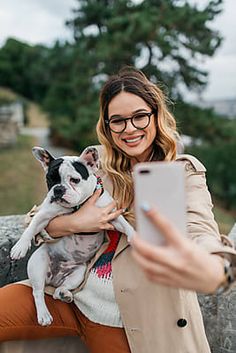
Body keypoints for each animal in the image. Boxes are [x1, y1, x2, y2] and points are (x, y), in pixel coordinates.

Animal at [10, 146, 135, 324]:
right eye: (50, 179)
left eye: (75, 180)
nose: (58, 189)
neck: (78, 206)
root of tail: (53, 280)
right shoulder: (44, 215)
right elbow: (32, 227)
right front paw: (19, 247)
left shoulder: (111, 215)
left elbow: (125, 225)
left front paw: (134, 237)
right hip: (38, 264)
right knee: (38, 292)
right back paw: (44, 315)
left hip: (79, 273)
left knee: (59, 291)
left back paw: (64, 294)